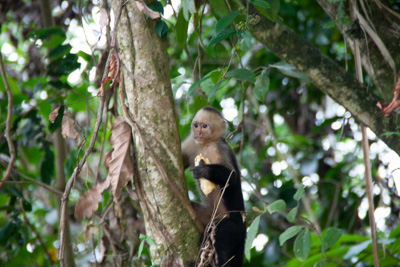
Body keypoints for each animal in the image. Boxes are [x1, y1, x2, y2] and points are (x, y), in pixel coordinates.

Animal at [180, 107, 244, 267]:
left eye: (204, 126)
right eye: (196, 125)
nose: (198, 132)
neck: (205, 144)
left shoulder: (219, 149)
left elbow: (232, 179)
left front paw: (205, 171)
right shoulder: (192, 142)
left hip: (233, 227)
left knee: (215, 237)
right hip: (210, 217)